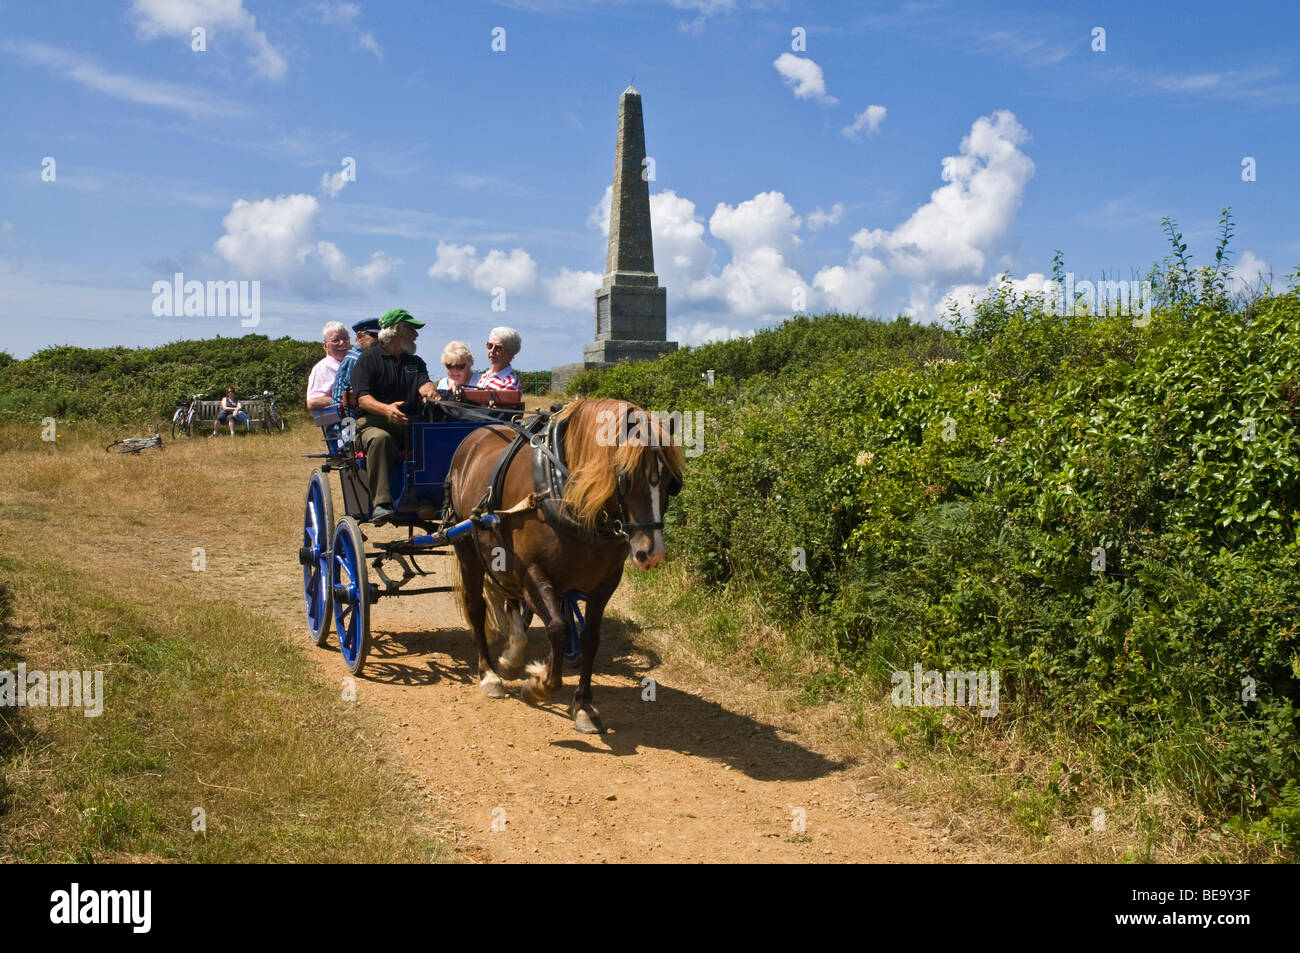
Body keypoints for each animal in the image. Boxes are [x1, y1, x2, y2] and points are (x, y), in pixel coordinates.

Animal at [447, 397, 686, 733]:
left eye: (671, 482)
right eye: (625, 475)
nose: (651, 553)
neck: (561, 487)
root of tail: (476, 435)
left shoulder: (604, 583)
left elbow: (589, 639)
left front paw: (583, 705)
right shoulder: (533, 574)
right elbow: (558, 629)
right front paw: (539, 686)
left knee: (509, 600)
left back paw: (512, 654)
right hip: (468, 549)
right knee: (477, 607)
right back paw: (490, 674)